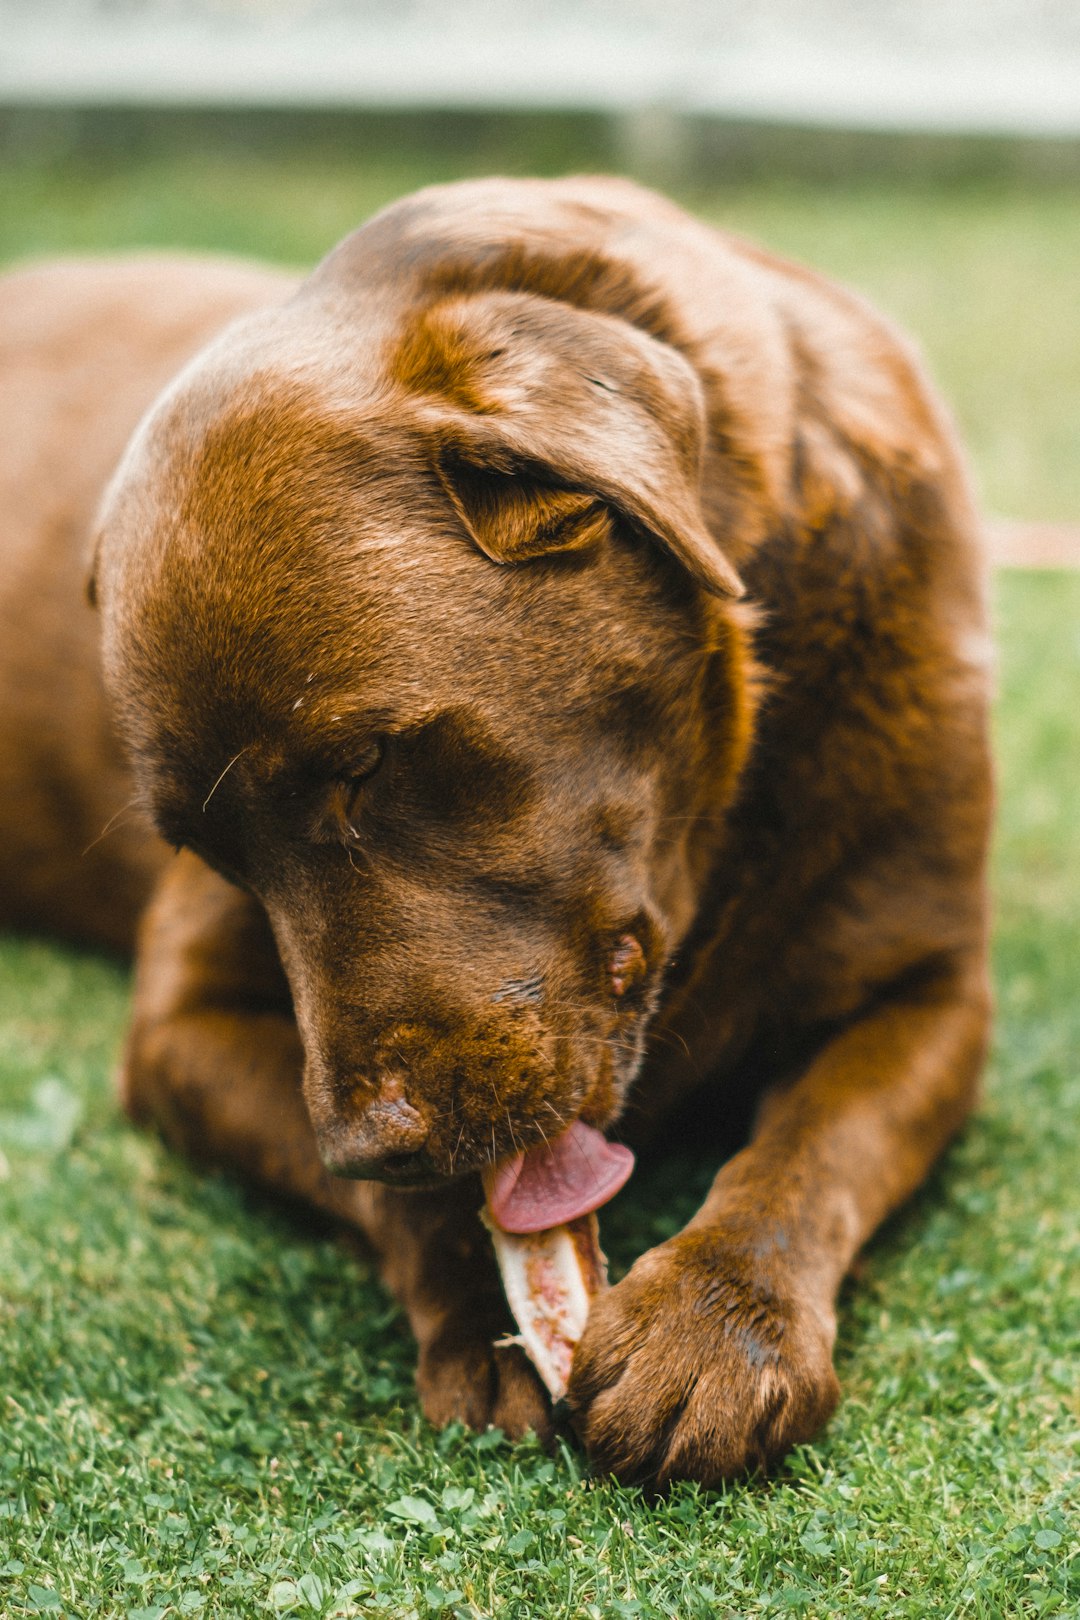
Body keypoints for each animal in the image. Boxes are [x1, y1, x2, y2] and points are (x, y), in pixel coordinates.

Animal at [0, 177, 990, 1483]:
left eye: (365, 764)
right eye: (211, 852)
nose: (370, 1144)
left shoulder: (932, 990)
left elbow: (817, 1146)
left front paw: (717, 1326)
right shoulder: (179, 1026)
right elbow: (427, 1205)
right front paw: (484, 1310)